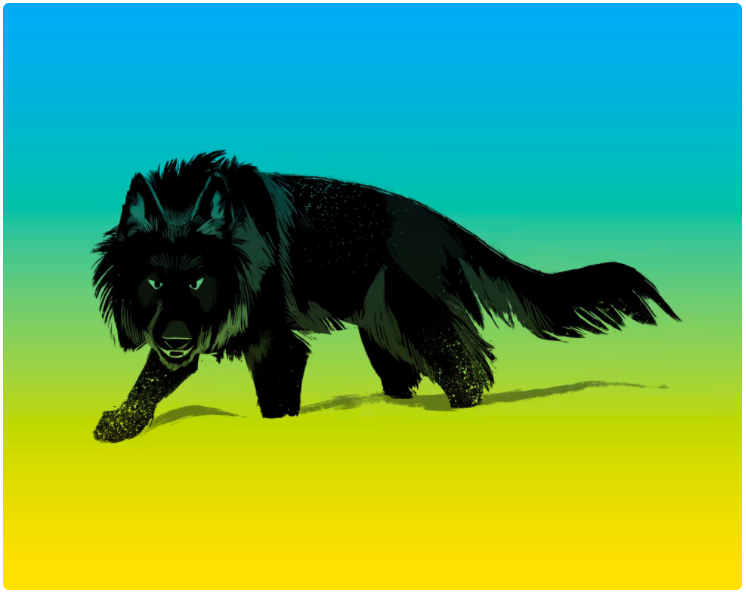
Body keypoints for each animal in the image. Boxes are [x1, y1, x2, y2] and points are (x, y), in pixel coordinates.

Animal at [92, 151, 680, 442]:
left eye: (197, 281)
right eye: (152, 283)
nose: (174, 338)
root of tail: (439, 224)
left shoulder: (275, 342)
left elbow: (275, 399)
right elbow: (150, 380)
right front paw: (121, 424)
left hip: (416, 316)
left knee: (468, 370)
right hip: (383, 333)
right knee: (416, 376)